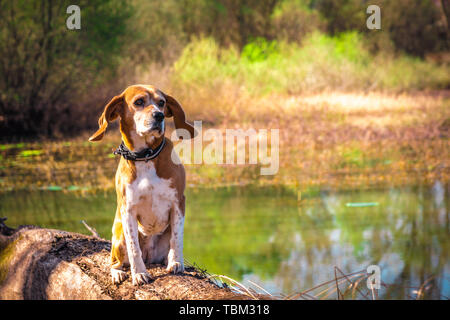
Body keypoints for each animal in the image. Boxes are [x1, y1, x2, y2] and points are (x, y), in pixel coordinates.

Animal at [89, 85, 194, 284]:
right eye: (139, 102)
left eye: (162, 102)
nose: (159, 116)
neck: (146, 156)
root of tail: (149, 256)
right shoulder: (127, 209)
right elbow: (133, 247)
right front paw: (138, 273)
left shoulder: (179, 202)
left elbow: (177, 238)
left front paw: (176, 262)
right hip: (119, 234)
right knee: (114, 261)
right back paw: (118, 272)